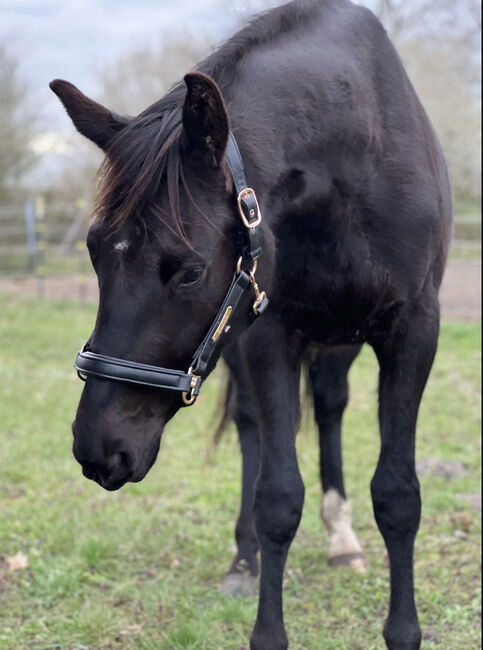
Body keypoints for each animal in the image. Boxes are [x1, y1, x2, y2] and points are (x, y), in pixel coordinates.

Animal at [52, 2, 454, 644]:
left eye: (190, 272)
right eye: (93, 253)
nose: (99, 449)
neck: (358, 159)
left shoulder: (414, 332)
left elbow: (397, 495)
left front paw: (403, 634)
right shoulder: (271, 334)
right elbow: (277, 496)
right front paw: (266, 627)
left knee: (331, 406)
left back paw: (342, 540)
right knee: (250, 428)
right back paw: (244, 561)